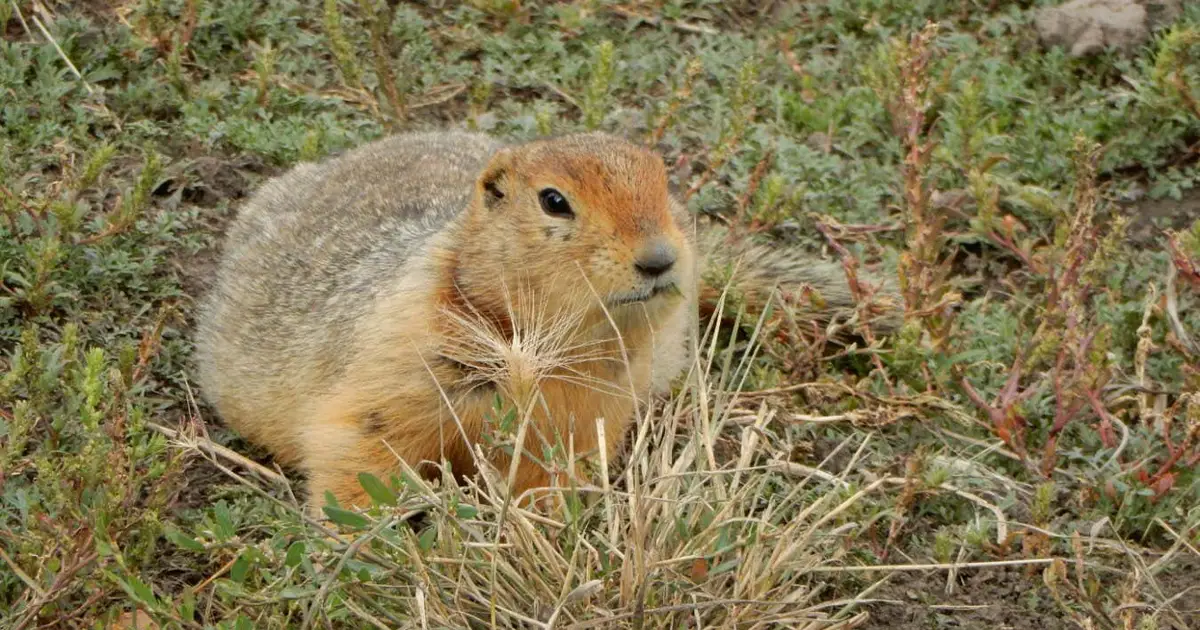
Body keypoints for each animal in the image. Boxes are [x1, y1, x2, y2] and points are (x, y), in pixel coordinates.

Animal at [193, 130, 899, 512]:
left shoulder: (591, 409)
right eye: (554, 200)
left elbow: (552, 470)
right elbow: (361, 445)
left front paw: (544, 519)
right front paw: (366, 536)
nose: (660, 258)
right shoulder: (399, 358)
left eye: (663, 181)